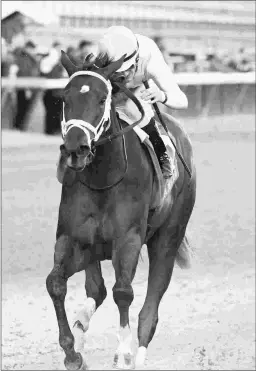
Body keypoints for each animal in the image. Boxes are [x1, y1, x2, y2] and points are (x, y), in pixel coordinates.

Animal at [46, 50, 197, 370]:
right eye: (65, 97)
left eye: (103, 98)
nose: (76, 148)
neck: (103, 179)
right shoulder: (74, 238)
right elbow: (56, 283)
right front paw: (72, 352)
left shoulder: (127, 239)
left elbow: (123, 292)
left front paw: (124, 352)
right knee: (96, 289)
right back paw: (82, 324)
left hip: (169, 236)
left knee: (151, 303)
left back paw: (137, 352)